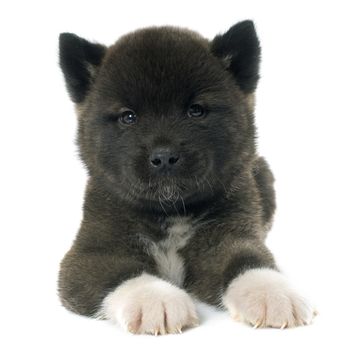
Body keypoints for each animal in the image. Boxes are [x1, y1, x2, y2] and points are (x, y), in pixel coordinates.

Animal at [57, 19, 314, 334]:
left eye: (196, 111)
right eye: (128, 117)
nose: (164, 157)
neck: (171, 212)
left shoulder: (227, 238)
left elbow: (247, 260)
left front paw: (271, 291)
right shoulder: (90, 254)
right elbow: (121, 274)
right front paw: (154, 299)